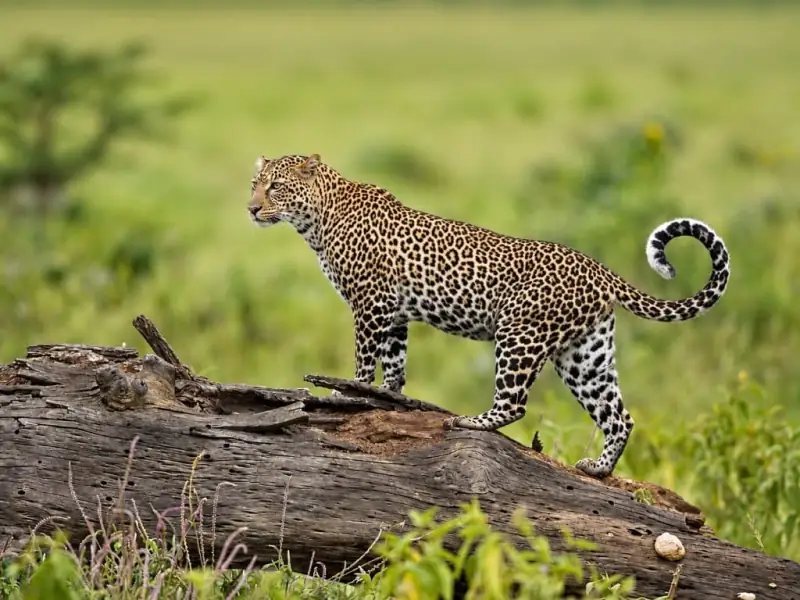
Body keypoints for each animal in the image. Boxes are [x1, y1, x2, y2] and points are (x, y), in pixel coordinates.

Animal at [247, 152, 731, 479]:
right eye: (254, 183)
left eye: (276, 187)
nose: (251, 208)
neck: (317, 219)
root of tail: (599, 269)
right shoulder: (395, 313)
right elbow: (395, 366)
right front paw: (386, 398)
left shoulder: (370, 305)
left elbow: (365, 362)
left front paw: (346, 396)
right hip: (585, 356)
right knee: (618, 416)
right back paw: (599, 469)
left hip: (519, 334)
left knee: (514, 404)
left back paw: (470, 420)